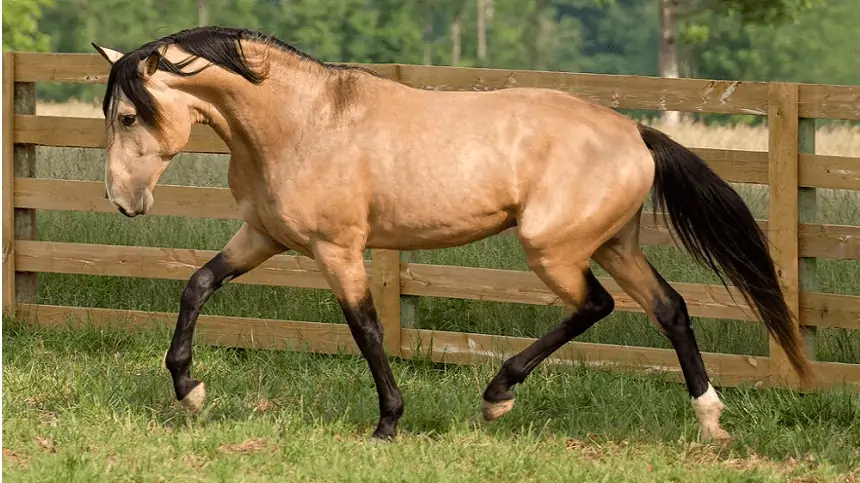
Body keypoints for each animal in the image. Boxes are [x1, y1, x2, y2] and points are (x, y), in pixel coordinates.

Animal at [94, 25, 812, 442]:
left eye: (128, 116)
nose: (122, 201)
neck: (301, 122)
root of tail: (635, 133)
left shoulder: (338, 250)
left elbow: (367, 329)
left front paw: (388, 423)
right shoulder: (262, 236)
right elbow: (197, 285)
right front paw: (189, 390)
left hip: (554, 249)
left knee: (596, 305)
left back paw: (498, 396)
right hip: (615, 244)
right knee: (670, 308)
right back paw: (710, 420)